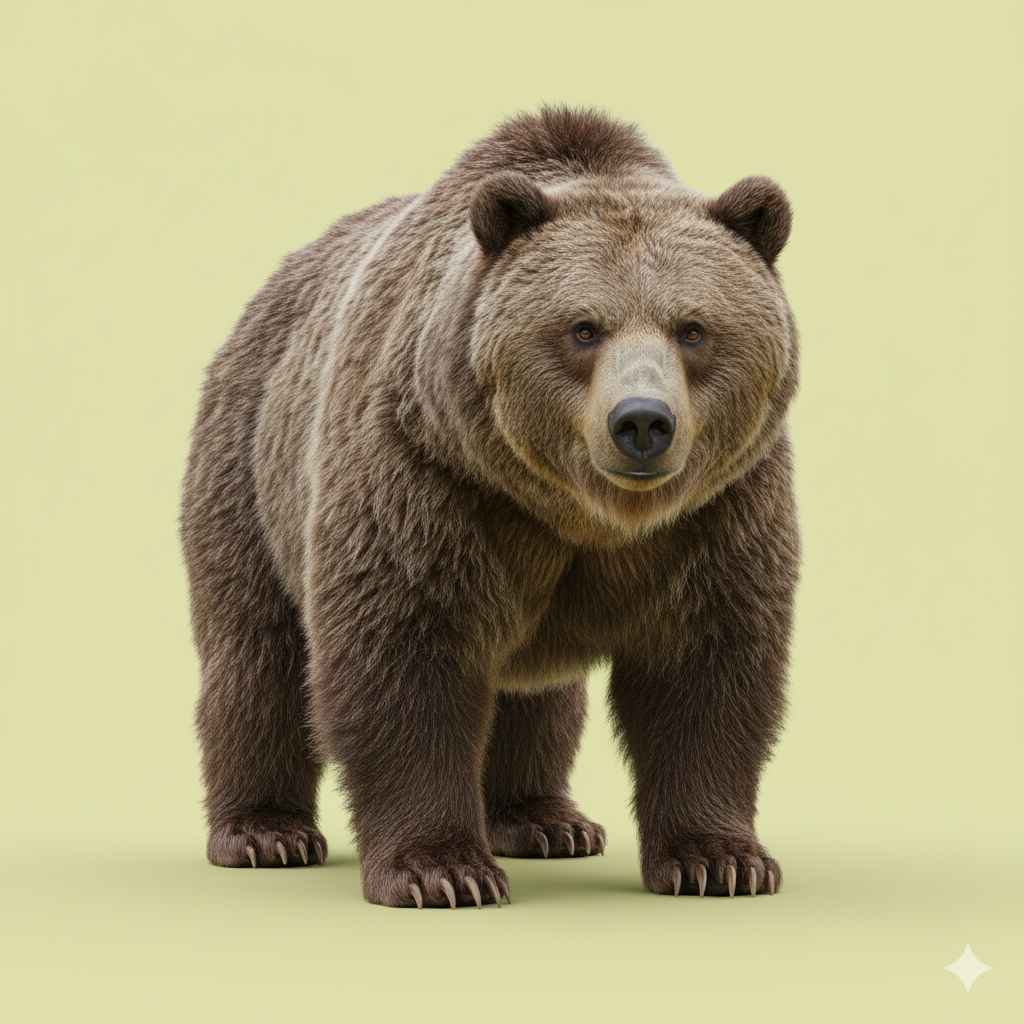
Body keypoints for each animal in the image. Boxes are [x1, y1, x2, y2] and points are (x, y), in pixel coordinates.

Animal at [181, 106, 799, 908]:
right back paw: (264, 831)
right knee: (258, 657)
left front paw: (720, 861)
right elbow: (404, 655)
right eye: (583, 327)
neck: (578, 513)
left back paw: (544, 819)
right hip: (251, 466)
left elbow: (707, 668)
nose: (641, 421)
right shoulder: (428, 478)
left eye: (692, 328)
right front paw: (440, 871)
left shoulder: (718, 511)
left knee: (539, 696)